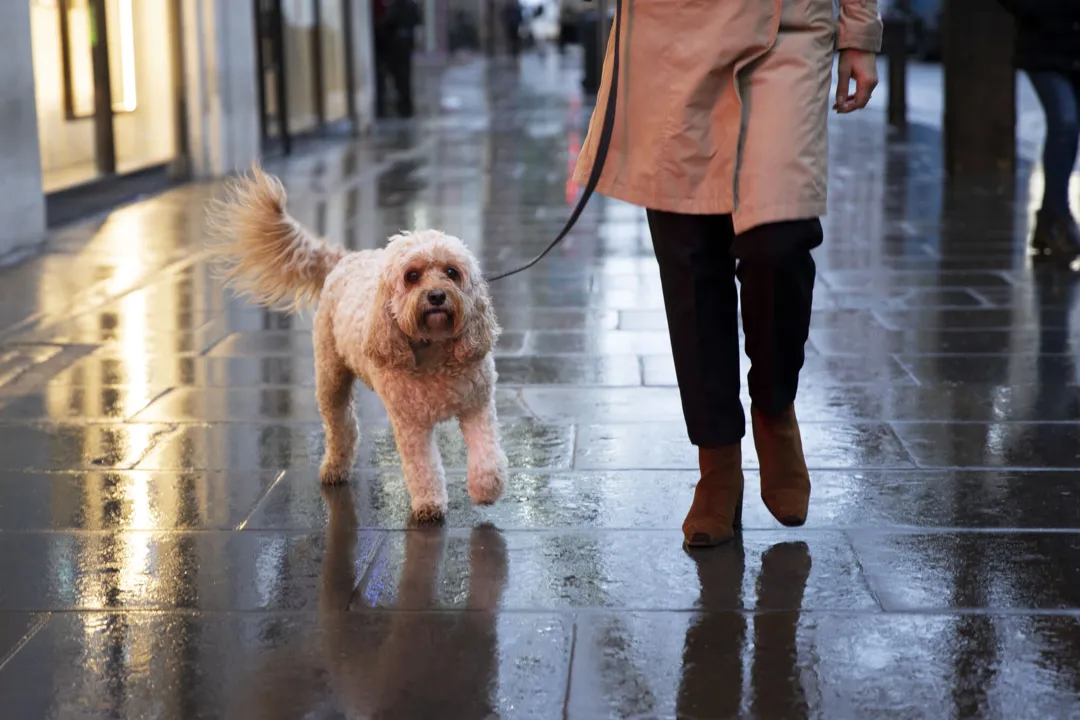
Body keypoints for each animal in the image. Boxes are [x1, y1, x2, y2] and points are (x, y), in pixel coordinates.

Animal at [208, 166, 507, 520]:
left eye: (451, 272)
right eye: (412, 276)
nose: (436, 296)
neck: (434, 350)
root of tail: (348, 258)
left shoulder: (478, 405)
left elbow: (487, 454)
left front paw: (486, 488)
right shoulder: (411, 425)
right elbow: (423, 467)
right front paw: (429, 503)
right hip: (330, 377)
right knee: (342, 427)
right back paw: (334, 468)